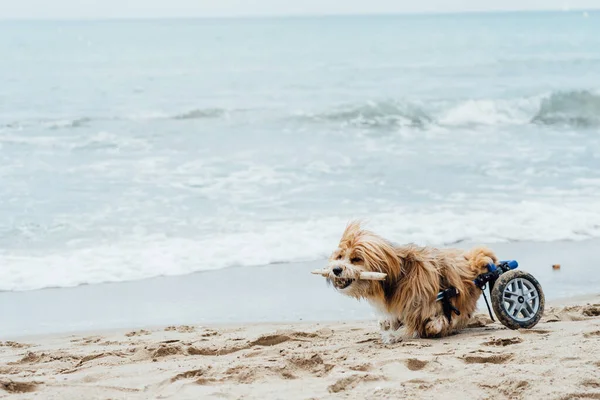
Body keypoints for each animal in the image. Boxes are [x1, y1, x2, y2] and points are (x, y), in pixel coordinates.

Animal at [324, 220, 496, 342]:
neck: (400, 276)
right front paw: (389, 328)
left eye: (356, 259)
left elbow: (434, 322)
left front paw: (430, 326)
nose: (336, 269)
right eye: (340, 256)